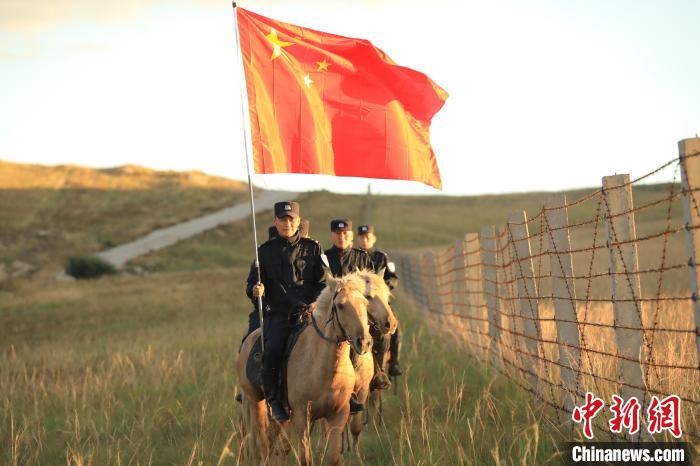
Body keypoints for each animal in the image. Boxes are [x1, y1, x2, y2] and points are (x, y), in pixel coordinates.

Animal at [237, 274, 372, 466]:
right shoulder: (301, 417)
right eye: (340, 305)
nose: (365, 342)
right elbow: (305, 458)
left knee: (278, 444)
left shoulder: (338, 415)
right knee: (263, 443)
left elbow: (333, 457)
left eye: (365, 303)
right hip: (256, 401)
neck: (325, 369)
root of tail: (249, 338)